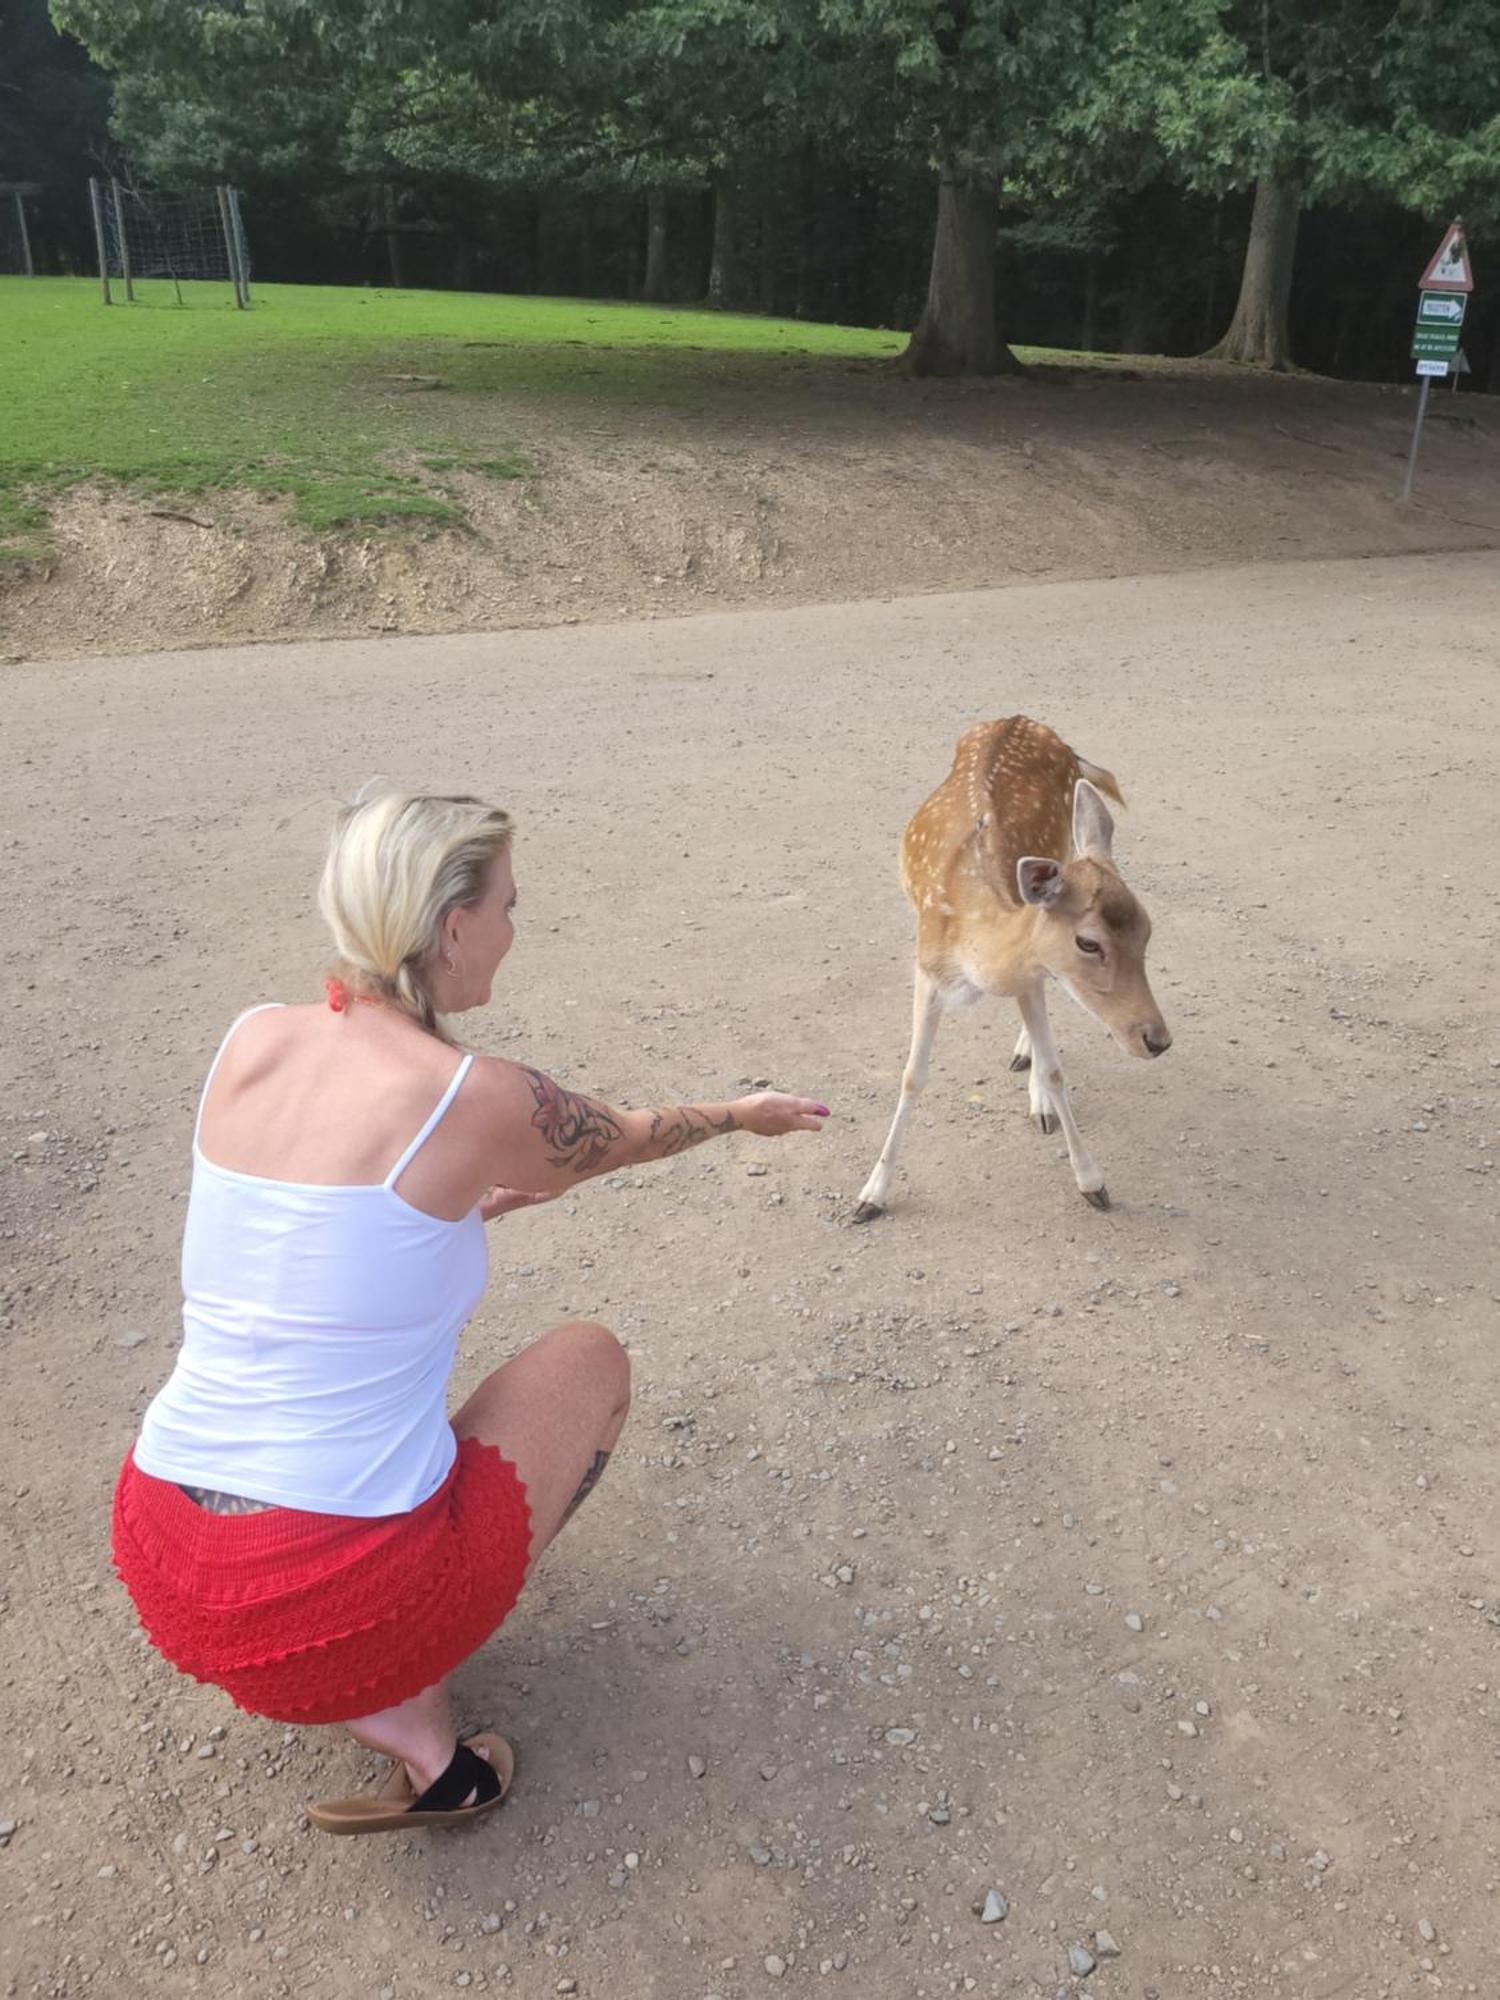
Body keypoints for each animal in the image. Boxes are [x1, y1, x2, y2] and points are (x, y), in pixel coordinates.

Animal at [856, 720, 1176, 1216]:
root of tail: (1024, 719)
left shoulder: (1029, 974)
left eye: (1147, 929)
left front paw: (1093, 1182)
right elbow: (912, 1076)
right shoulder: (927, 968)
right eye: (1088, 942)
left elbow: (1055, 1069)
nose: (1157, 1040)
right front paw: (871, 1194)